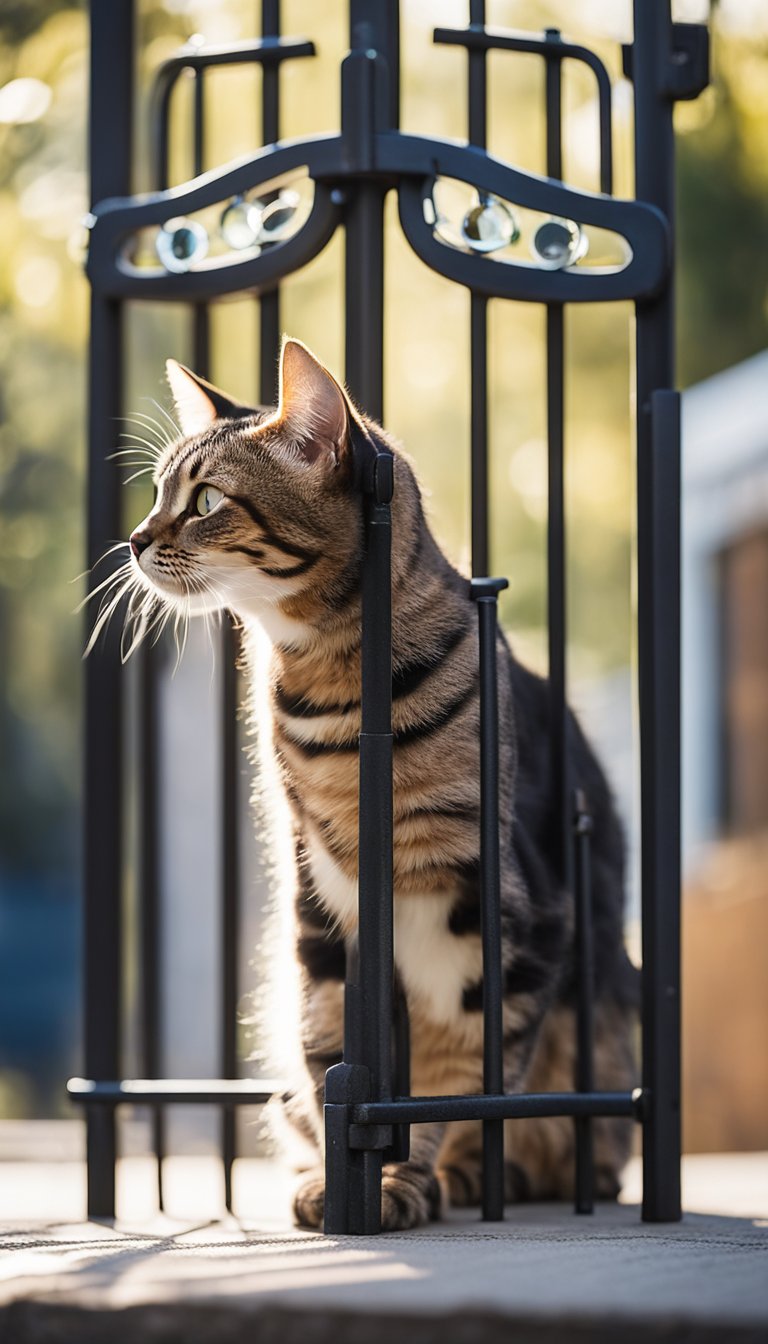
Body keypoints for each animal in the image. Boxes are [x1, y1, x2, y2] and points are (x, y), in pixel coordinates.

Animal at [119, 336, 637, 1231]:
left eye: (207, 499)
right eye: (157, 493)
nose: (132, 539)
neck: (331, 698)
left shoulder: (504, 914)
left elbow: (455, 1074)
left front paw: (403, 1178)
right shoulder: (320, 899)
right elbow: (336, 1046)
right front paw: (346, 1179)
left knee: (576, 1144)